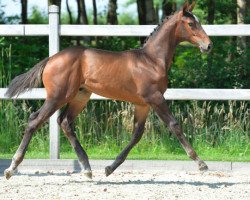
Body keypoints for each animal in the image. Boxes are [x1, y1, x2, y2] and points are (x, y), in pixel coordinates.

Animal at [3, 1, 212, 180]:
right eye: (191, 23)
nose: (208, 45)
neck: (151, 60)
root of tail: (51, 59)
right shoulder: (155, 98)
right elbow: (174, 125)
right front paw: (201, 163)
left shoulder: (143, 104)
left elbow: (137, 134)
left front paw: (109, 168)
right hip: (58, 96)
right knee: (35, 120)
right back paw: (11, 168)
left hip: (80, 96)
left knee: (64, 122)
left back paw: (87, 168)